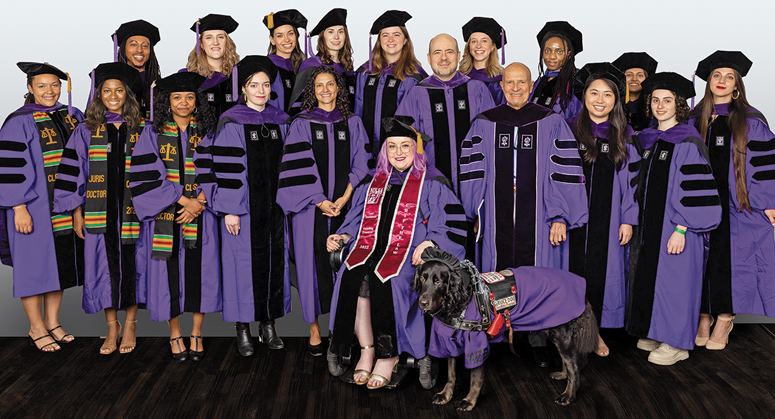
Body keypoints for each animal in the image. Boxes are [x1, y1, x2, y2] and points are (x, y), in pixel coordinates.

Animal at [412, 249, 600, 410]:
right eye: (422, 279)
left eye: (438, 281)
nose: (422, 303)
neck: (456, 302)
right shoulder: (448, 340)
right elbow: (451, 374)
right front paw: (446, 395)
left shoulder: (476, 342)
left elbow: (475, 378)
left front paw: (469, 401)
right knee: (567, 360)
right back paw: (562, 375)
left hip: (561, 333)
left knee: (574, 366)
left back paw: (568, 395)